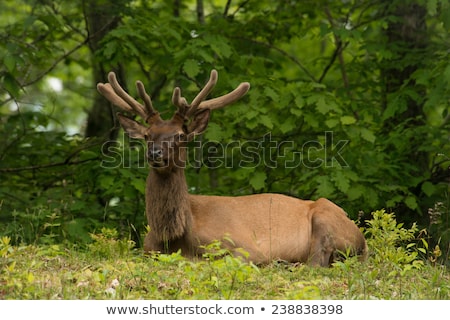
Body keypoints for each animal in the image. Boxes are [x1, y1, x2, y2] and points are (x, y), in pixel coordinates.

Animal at [96, 70, 368, 268]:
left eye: (180, 135)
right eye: (147, 135)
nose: (155, 154)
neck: (174, 236)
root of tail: (363, 241)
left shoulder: (247, 247)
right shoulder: (146, 249)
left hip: (326, 218)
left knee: (316, 262)